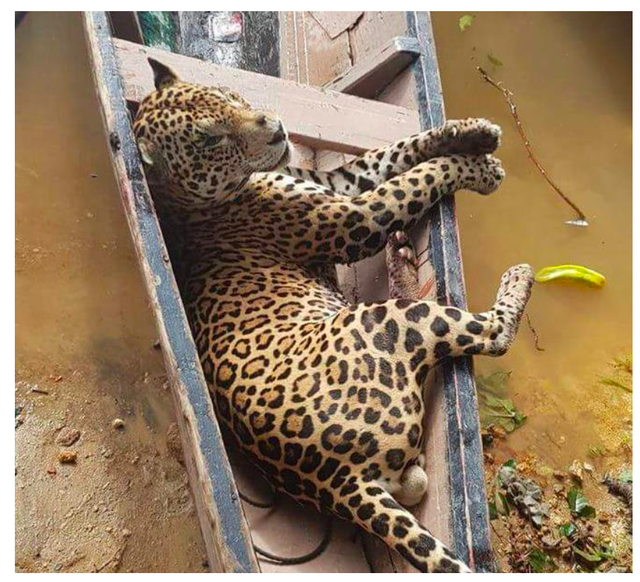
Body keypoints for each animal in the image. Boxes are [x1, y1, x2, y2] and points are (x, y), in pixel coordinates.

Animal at [134, 57, 534, 573]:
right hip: (393, 320)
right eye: (210, 141)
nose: (274, 126)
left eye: (229, 96)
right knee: (492, 333)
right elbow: (417, 178)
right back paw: (516, 278)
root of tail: (338, 483)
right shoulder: (354, 218)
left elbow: (393, 153)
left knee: (415, 480)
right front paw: (478, 168)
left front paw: (472, 132)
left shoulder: (332, 183)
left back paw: (403, 258)